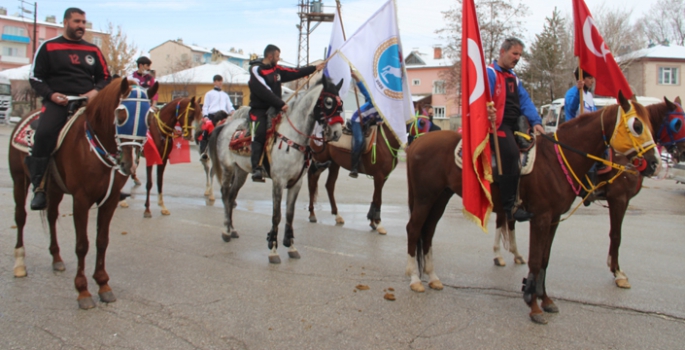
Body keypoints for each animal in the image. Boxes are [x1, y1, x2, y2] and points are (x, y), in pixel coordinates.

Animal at [8, 78, 158, 308]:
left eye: (149, 117)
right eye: (120, 114)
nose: (129, 163)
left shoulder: (110, 200)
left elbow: (102, 241)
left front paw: (103, 285)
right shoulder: (81, 200)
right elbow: (82, 245)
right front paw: (83, 291)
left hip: (55, 187)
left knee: (51, 216)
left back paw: (57, 259)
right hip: (19, 180)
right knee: (20, 217)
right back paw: (20, 263)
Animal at [207, 76, 342, 262]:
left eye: (341, 102)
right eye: (328, 102)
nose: (337, 133)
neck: (293, 139)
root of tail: (225, 126)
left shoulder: (296, 183)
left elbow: (290, 214)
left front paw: (291, 246)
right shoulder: (278, 182)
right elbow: (276, 214)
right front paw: (273, 249)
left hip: (241, 172)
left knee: (232, 195)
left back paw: (232, 230)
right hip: (228, 169)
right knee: (226, 195)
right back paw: (226, 230)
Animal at [406, 94, 656, 324]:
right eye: (637, 126)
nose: (654, 163)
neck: (556, 160)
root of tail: (418, 142)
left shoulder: (554, 219)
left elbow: (545, 259)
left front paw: (545, 299)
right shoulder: (542, 217)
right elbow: (536, 260)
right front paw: (533, 304)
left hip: (441, 197)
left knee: (428, 231)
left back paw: (432, 277)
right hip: (425, 197)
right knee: (414, 229)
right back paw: (415, 280)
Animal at [492, 97, 684, 288]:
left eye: (649, 125)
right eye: (678, 124)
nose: (655, 163)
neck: (555, 157)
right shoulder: (619, 199)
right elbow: (616, 235)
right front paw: (617, 272)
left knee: (507, 221)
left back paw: (511, 255)